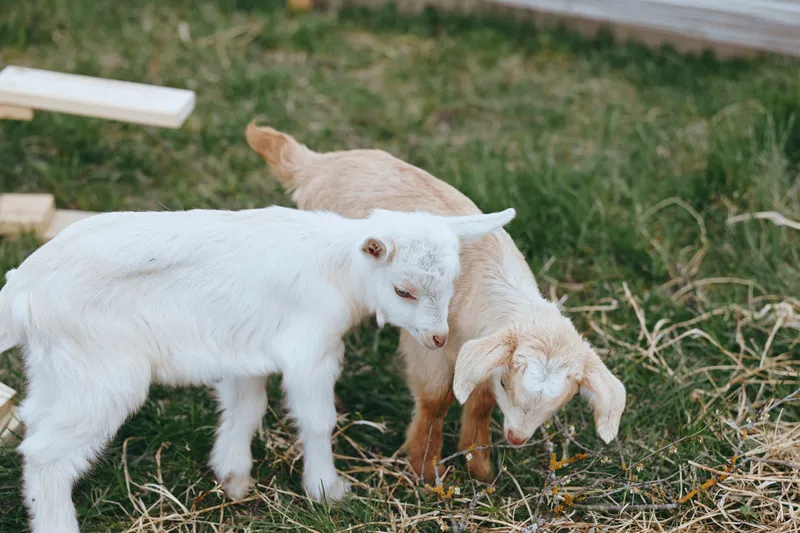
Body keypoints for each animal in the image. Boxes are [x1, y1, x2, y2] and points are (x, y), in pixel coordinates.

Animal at [0, 204, 515, 533]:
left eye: (452, 282)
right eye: (403, 290)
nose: (439, 338)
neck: (337, 270)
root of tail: (22, 290)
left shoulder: (243, 350)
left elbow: (246, 407)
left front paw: (233, 478)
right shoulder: (310, 349)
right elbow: (317, 420)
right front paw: (326, 490)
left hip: (59, 368)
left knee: (33, 422)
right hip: (102, 374)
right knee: (45, 452)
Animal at [246, 123, 626, 482]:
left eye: (561, 402)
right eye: (508, 384)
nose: (516, 438)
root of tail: (315, 165)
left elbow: (480, 403)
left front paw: (479, 467)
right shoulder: (427, 344)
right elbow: (435, 400)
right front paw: (425, 467)